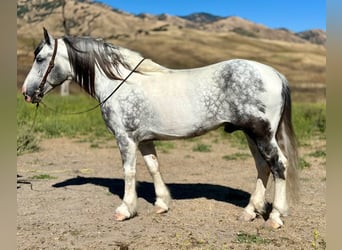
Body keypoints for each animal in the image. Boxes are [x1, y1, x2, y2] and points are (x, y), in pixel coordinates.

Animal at [22, 29, 300, 229]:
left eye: (40, 59)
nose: (26, 93)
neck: (118, 82)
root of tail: (275, 74)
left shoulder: (125, 139)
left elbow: (129, 171)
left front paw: (125, 209)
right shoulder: (144, 139)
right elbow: (153, 166)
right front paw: (162, 204)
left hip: (261, 133)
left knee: (279, 165)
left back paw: (275, 217)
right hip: (251, 134)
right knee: (263, 167)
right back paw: (250, 212)